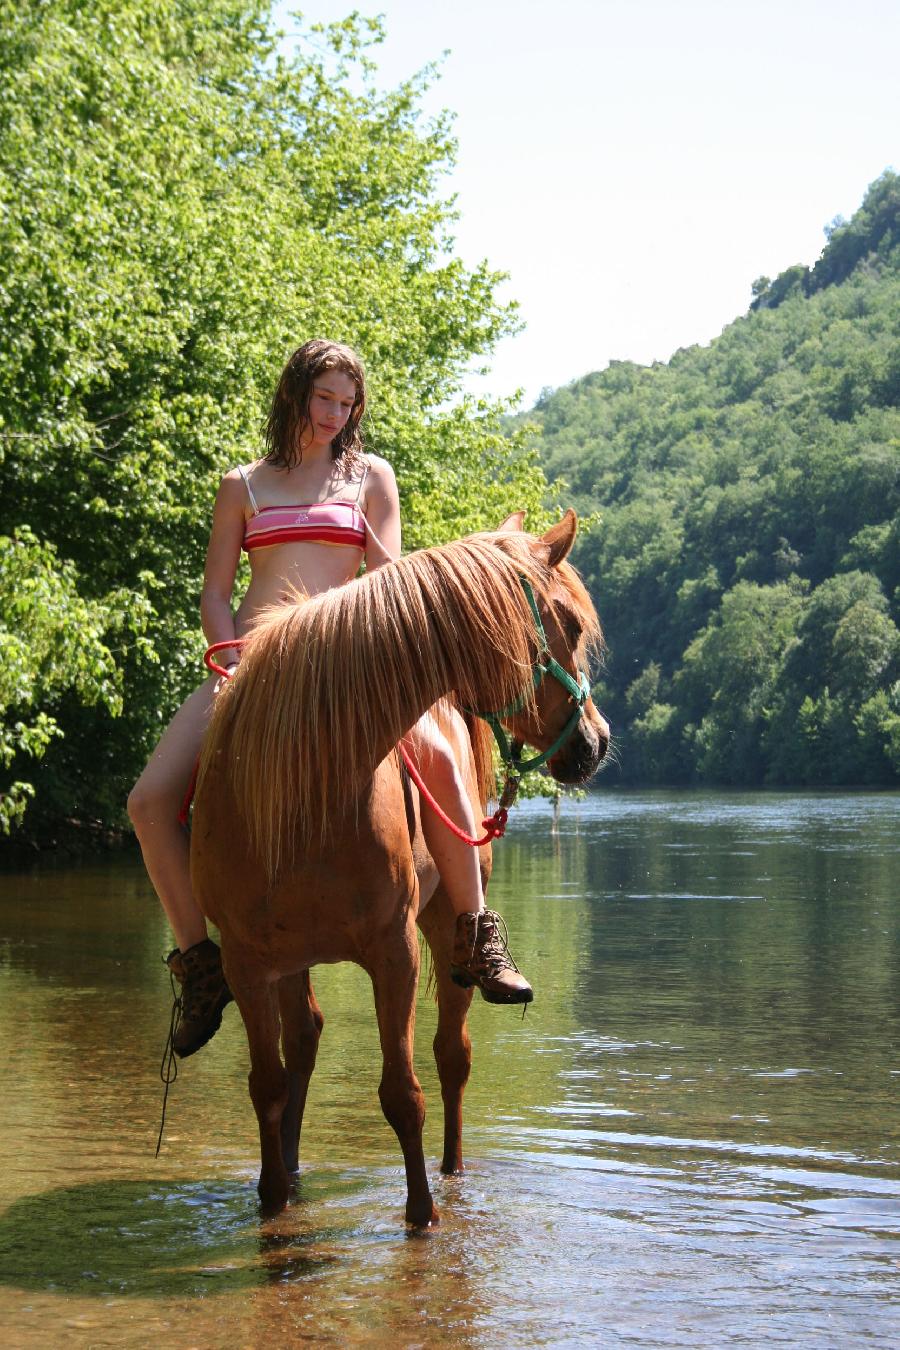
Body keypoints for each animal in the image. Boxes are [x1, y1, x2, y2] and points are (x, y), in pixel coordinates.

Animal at [192, 507, 609, 1225]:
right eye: (573, 625)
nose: (595, 742)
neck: (309, 786)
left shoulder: (396, 953)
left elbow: (403, 1093)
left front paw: (423, 1216)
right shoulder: (248, 963)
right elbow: (268, 1085)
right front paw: (273, 1203)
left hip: (445, 930)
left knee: (452, 1057)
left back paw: (453, 1170)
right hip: (289, 961)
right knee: (304, 1044)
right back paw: (294, 1172)